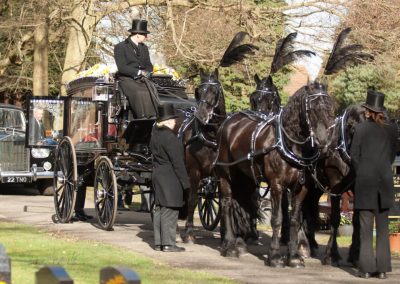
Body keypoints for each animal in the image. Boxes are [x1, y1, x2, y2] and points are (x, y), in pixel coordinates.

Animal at [216, 81, 334, 268]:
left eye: (330, 107)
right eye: (311, 108)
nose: (323, 142)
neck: (289, 144)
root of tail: (228, 122)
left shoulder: (301, 188)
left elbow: (294, 220)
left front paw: (294, 257)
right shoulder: (277, 185)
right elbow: (277, 219)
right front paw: (275, 256)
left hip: (246, 178)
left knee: (242, 203)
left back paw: (240, 243)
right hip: (225, 175)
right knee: (227, 204)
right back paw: (229, 246)